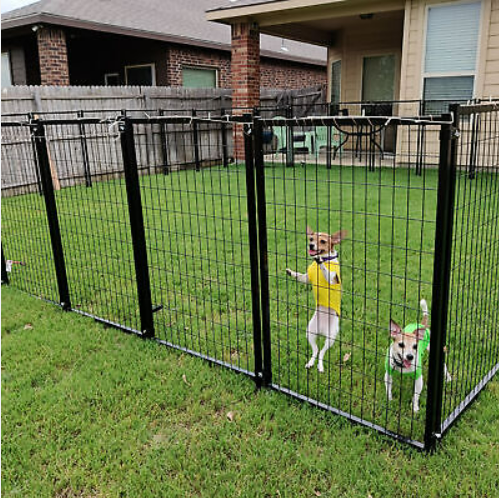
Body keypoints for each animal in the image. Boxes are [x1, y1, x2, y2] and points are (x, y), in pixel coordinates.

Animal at [286, 226, 348, 374]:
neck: (326, 258)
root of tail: (321, 331)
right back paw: (310, 363)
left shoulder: (332, 278)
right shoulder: (306, 278)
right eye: (311, 239)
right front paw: (291, 272)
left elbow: (326, 271)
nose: (311, 245)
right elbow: (299, 276)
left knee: (322, 352)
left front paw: (320, 262)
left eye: (323, 241)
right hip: (310, 332)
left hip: (331, 338)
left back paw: (320, 366)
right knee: (315, 350)